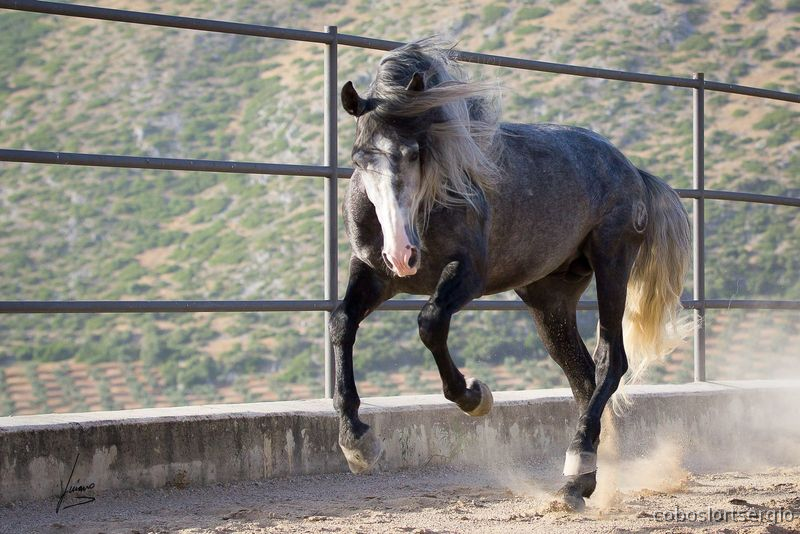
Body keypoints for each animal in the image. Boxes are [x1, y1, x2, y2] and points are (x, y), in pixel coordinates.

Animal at [330, 39, 692, 511]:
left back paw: (576, 465)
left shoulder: (468, 275)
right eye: (360, 158)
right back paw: (582, 481)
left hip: (612, 263)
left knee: (610, 361)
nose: (403, 254)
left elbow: (430, 323)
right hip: (548, 298)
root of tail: (633, 170)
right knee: (582, 377)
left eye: (413, 152)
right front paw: (357, 442)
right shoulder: (374, 274)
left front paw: (474, 396)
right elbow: (342, 323)